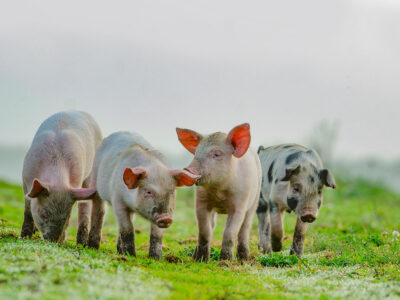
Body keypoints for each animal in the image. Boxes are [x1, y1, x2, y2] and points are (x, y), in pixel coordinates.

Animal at [20, 110, 102, 244]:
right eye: (45, 214)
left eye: (67, 216)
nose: (54, 241)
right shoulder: (25, 180)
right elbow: (27, 210)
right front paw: (23, 237)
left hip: (90, 173)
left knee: (84, 205)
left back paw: (81, 243)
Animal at [176, 123, 262, 262]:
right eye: (196, 153)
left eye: (216, 154)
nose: (187, 169)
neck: (219, 190)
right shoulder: (201, 203)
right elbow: (204, 232)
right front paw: (201, 260)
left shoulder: (239, 204)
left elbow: (229, 232)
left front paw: (225, 261)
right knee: (212, 226)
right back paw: (194, 257)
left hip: (254, 201)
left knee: (245, 228)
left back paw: (243, 259)